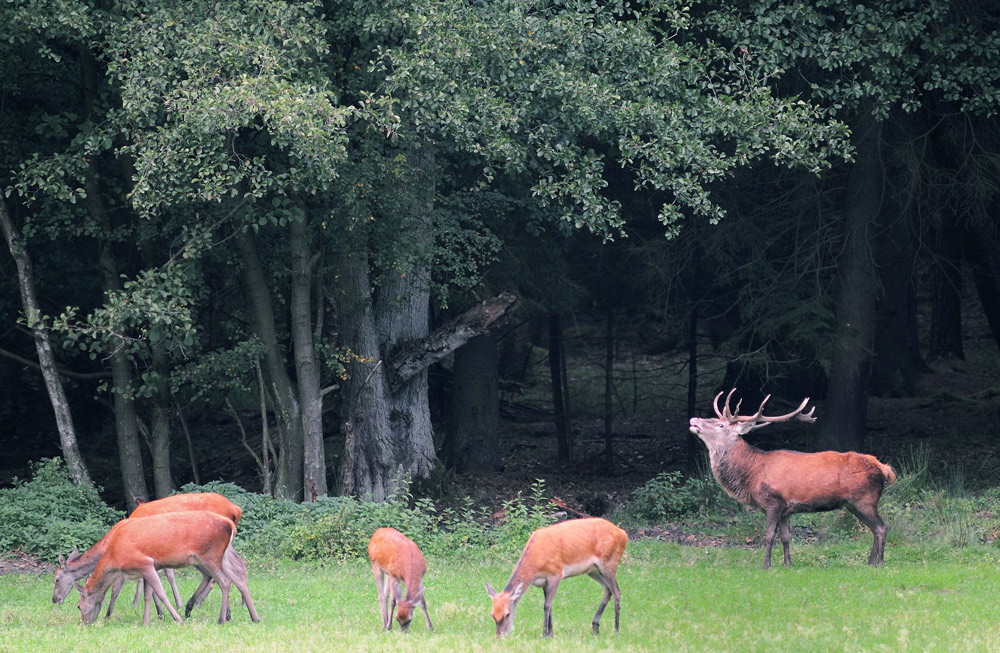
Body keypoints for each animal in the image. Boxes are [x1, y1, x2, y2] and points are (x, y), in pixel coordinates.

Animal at [78, 512, 258, 624]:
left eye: (78, 606)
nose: (84, 623)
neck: (115, 559)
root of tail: (231, 525)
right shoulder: (147, 568)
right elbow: (148, 595)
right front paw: (146, 623)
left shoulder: (144, 563)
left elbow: (161, 593)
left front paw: (177, 619)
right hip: (220, 557)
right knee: (237, 574)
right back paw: (254, 617)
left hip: (210, 556)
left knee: (225, 581)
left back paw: (221, 619)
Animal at [484, 520, 624, 636]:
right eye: (492, 614)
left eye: (507, 614)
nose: (499, 636)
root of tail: (623, 534)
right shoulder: (543, 582)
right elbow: (549, 605)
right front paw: (551, 634)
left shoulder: (556, 574)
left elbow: (547, 605)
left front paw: (544, 634)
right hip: (593, 570)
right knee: (608, 589)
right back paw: (595, 626)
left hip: (610, 563)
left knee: (617, 591)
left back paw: (616, 630)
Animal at [692, 390, 896, 568]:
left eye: (720, 425)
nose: (694, 419)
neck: (752, 474)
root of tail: (884, 468)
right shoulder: (786, 510)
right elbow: (786, 537)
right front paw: (788, 565)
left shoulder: (773, 501)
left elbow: (768, 536)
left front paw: (766, 566)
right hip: (852, 504)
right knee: (874, 529)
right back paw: (869, 563)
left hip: (865, 499)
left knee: (882, 527)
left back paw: (879, 564)